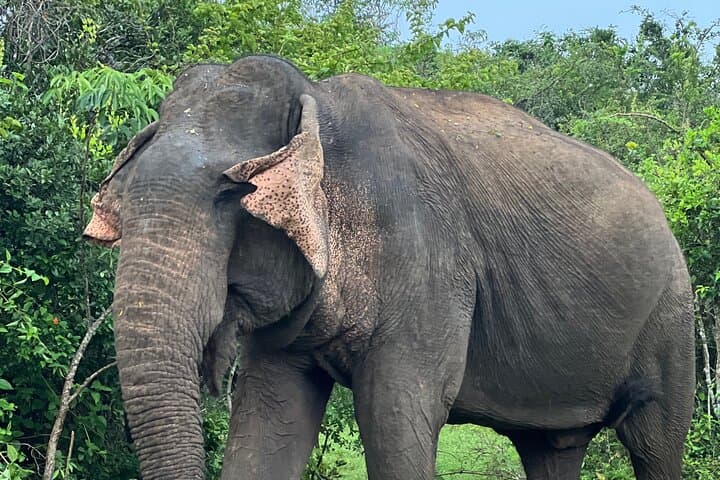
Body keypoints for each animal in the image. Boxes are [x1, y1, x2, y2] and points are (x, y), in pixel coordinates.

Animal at [84, 55, 695, 480]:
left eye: (233, 193)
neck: (318, 99)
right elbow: (270, 418)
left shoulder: (430, 264)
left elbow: (396, 414)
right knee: (553, 447)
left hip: (670, 317)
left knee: (655, 439)